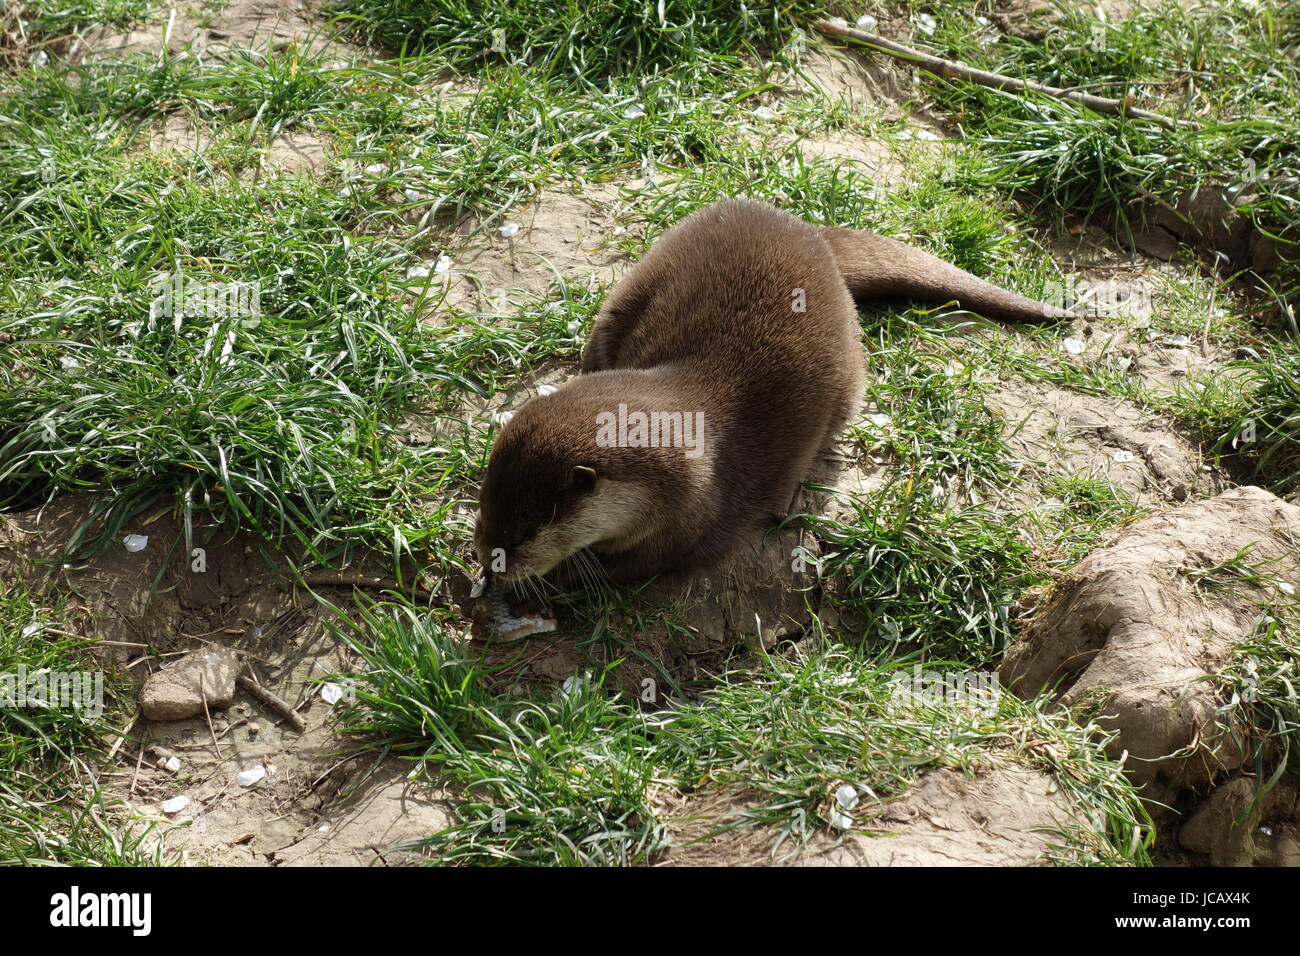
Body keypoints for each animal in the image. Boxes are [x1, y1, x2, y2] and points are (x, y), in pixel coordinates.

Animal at [475, 200, 1066, 590]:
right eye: (484, 509)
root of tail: (810, 229)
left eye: (528, 530)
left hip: (849, 379)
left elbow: (624, 571)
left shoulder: (687, 522)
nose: (489, 560)